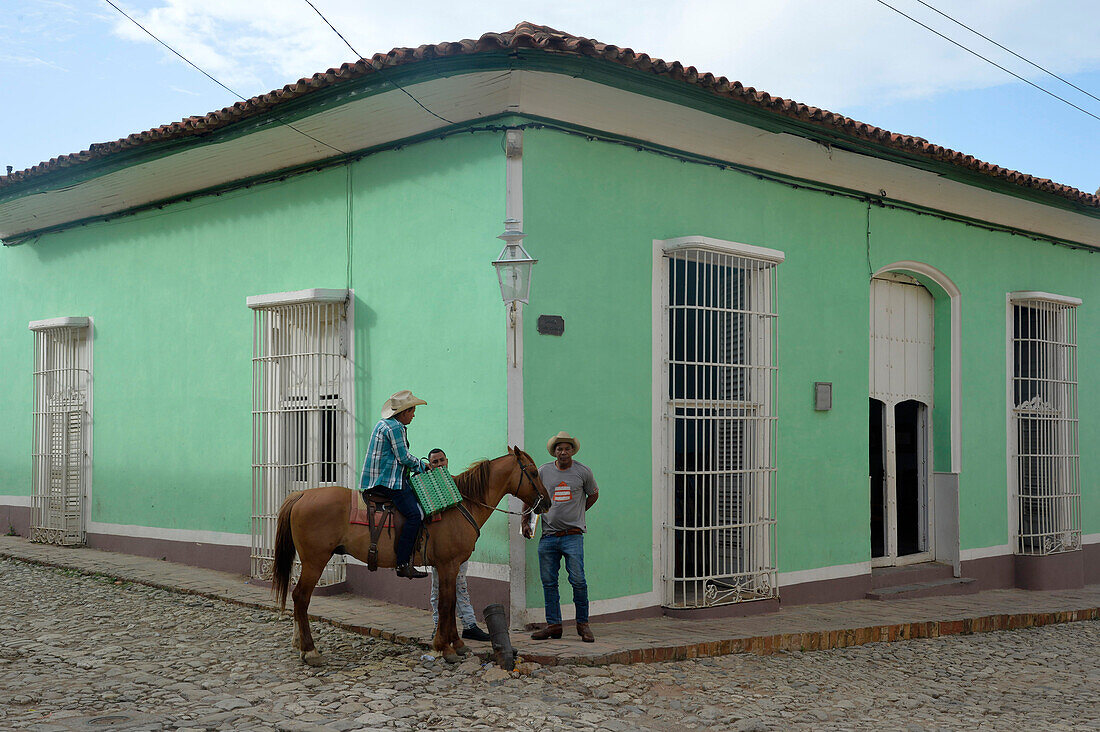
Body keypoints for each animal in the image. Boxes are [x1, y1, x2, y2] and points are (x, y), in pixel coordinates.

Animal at [272, 444, 547, 660]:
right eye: (533, 472)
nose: (545, 502)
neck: (461, 504)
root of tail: (302, 494)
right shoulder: (448, 564)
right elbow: (446, 604)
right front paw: (444, 647)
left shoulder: (449, 566)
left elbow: (451, 603)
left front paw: (456, 644)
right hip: (315, 561)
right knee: (301, 597)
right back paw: (310, 650)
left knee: (299, 599)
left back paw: (299, 643)